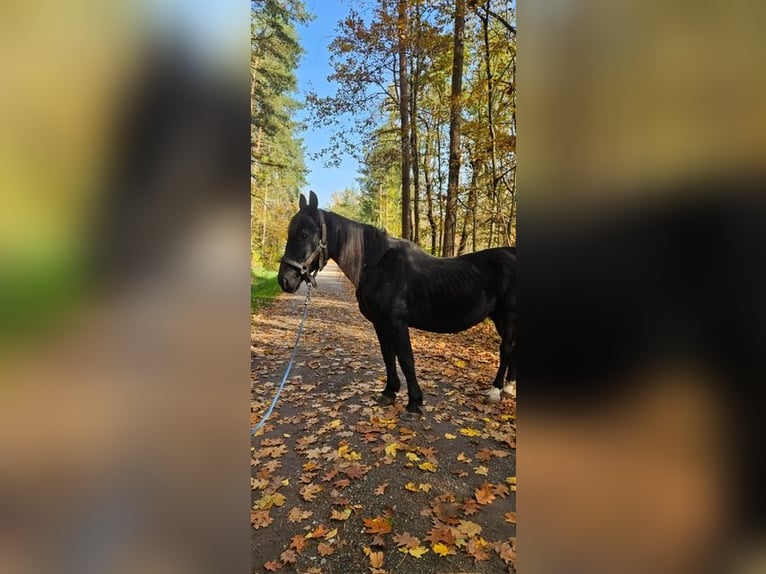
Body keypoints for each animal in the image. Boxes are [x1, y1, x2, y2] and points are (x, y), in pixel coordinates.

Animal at [276, 191, 516, 420]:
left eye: (304, 234)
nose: (285, 280)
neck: (378, 265)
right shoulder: (380, 323)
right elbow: (388, 356)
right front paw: (389, 392)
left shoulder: (397, 322)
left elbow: (406, 360)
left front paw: (414, 404)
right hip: (498, 317)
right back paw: (509, 387)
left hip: (508, 315)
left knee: (506, 347)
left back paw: (496, 390)